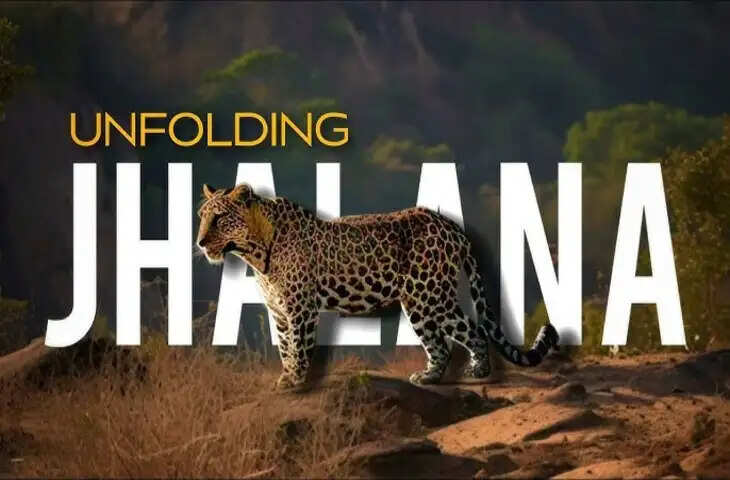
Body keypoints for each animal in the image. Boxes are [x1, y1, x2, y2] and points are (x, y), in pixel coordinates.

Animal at [196, 183, 559, 389]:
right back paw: (429, 377)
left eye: (219, 218)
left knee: (473, 330)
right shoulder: (280, 311)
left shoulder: (300, 309)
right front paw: (286, 377)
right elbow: (286, 347)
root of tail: (452, 225)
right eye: (201, 216)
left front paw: (296, 380)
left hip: (429, 296)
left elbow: (299, 346)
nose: (199, 242)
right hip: (419, 303)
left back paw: (479, 372)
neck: (255, 252)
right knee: (440, 345)